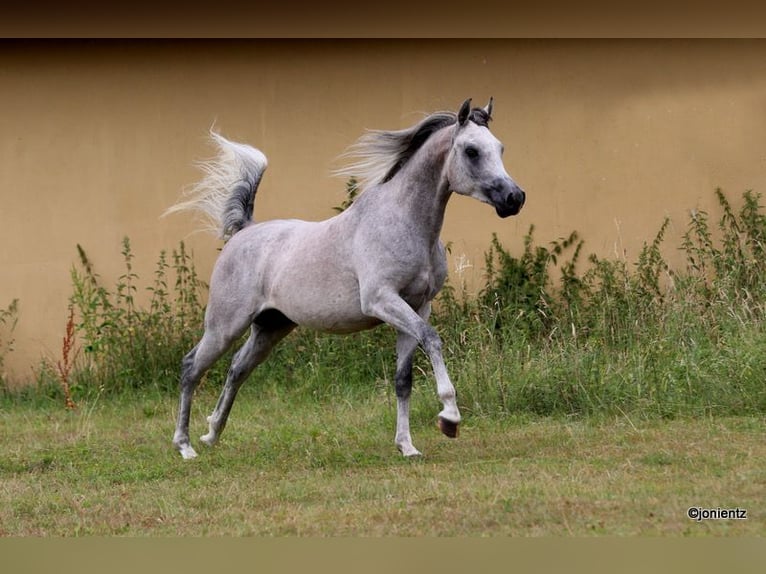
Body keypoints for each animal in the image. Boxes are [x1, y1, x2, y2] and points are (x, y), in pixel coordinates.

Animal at [166, 98, 525, 460]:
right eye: (471, 151)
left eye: (500, 148)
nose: (515, 198)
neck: (403, 222)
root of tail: (244, 230)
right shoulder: (382, 301)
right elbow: (432, 338)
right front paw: (449, 418)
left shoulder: (416, 307)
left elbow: (403, 379)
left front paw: (407, 446)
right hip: (225, 326)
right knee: (191, 367)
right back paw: (185, 446)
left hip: (271, 327)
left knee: (237, 369)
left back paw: (212, 433)